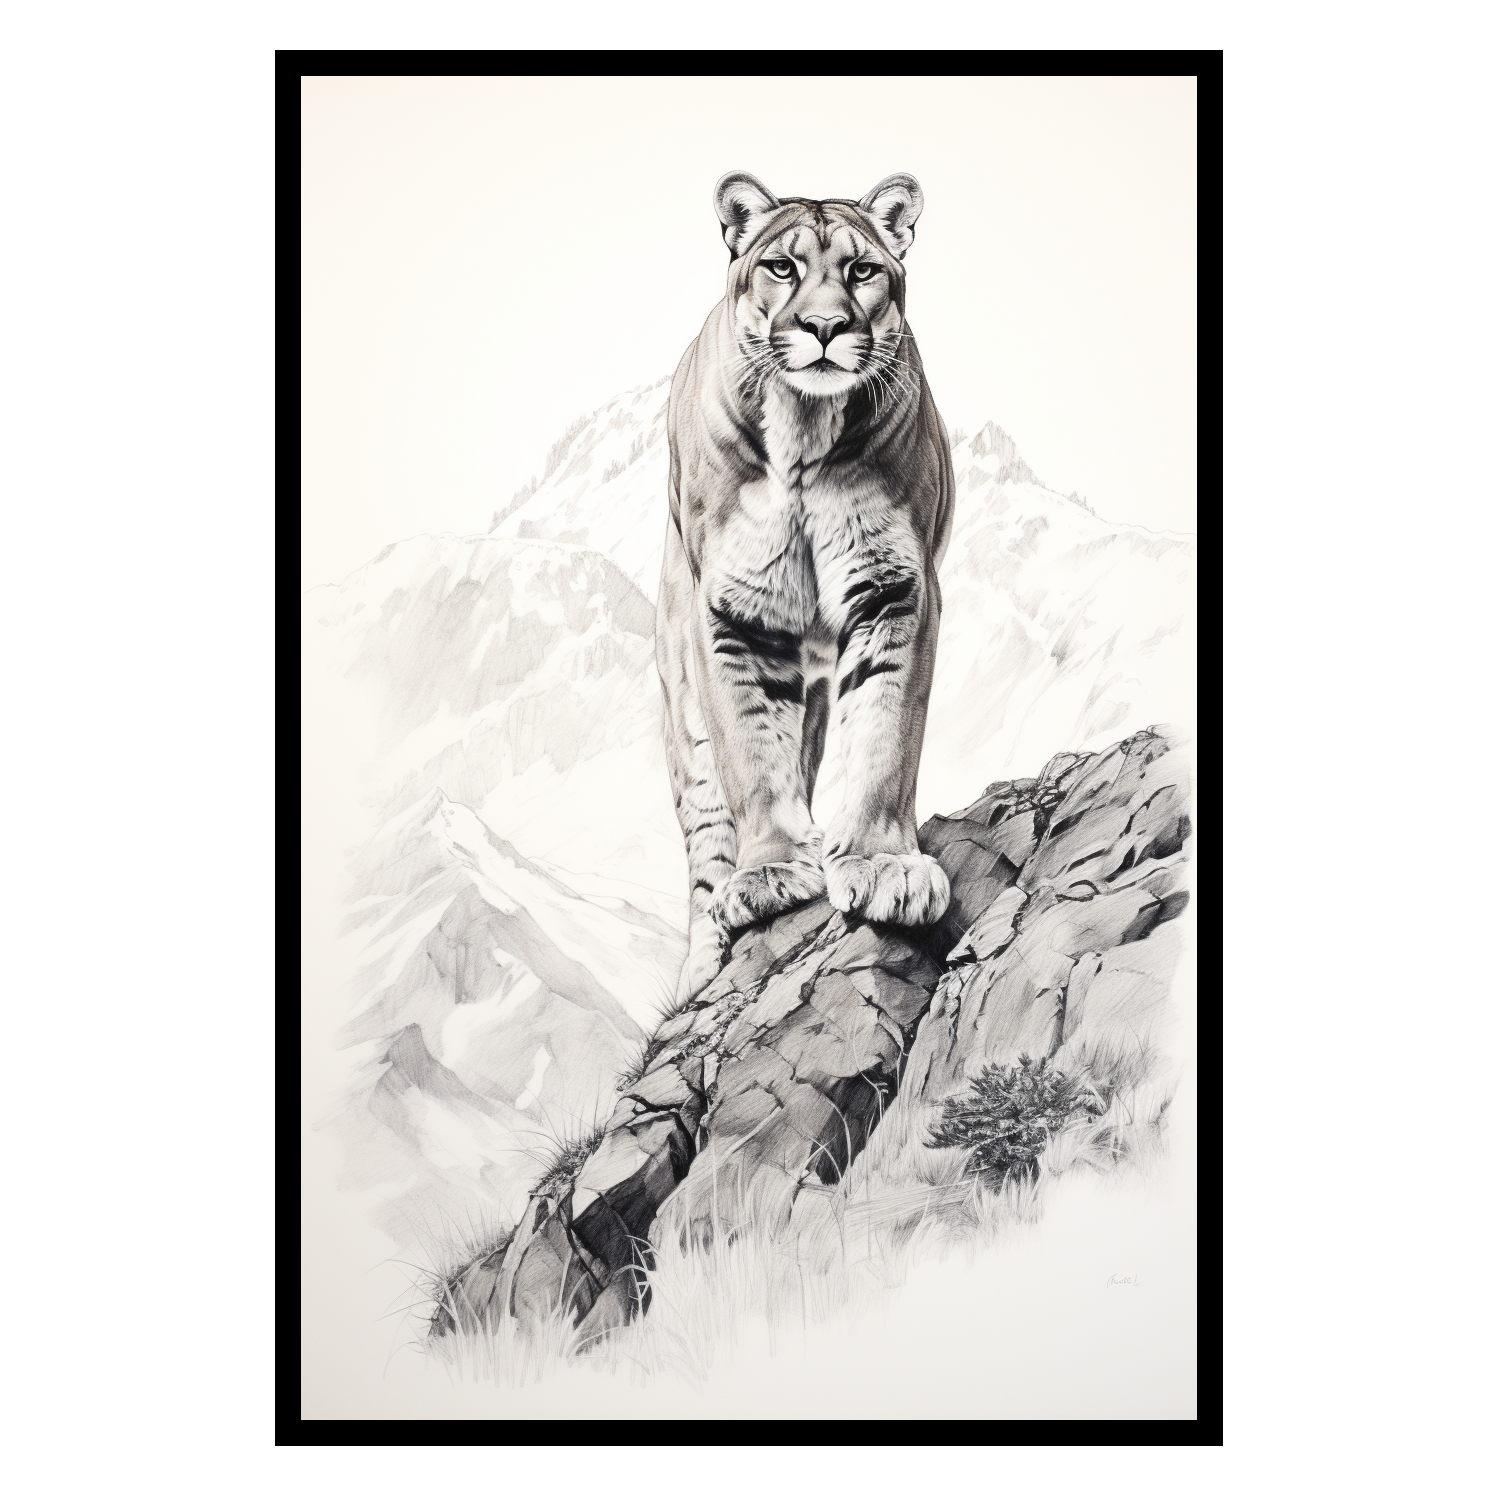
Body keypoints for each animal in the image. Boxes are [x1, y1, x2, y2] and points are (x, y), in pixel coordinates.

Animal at [657, 171, 956, 1000]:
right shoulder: (731, 613)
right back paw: (702, 967)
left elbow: (885, 735)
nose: (825, 327)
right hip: (683, 717)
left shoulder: (896, 590)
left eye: (862, 271)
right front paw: (772, 876)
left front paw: (883, 867)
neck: (804, 432)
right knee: (704, 838)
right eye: (782, 268)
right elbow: (752, 751)